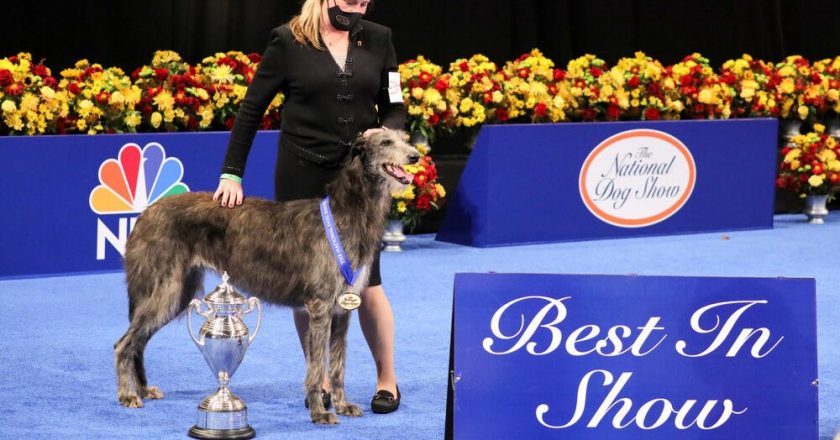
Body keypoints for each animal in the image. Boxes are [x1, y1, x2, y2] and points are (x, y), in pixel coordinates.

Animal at [113, 129, 420, 424]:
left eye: (405, 139)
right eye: (386, 141)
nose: (416, 156)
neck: (347, 211)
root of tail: (146, 213)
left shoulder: (343, 307)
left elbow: (338, 365)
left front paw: (343, 405)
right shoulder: (320, 306)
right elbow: (317, 365)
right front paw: (319, 412)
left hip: (179, 292)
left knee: (139, 341)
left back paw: (143, 389)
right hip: (167, 289)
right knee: (124, 343)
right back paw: (127, 394)